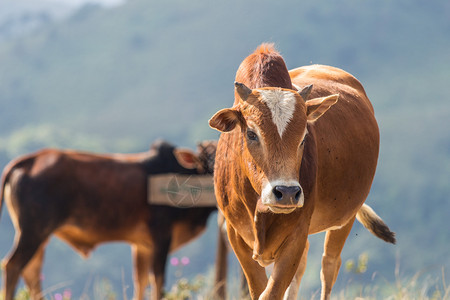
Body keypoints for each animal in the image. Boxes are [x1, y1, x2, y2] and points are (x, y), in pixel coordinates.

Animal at [0, 141, 218, 300]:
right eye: (207, 165)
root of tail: (31, 159)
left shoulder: (142, 245)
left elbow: (141, 281)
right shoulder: (161, 237)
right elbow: (158, 281)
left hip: (38, 234)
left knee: (31, 270)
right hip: (33, 231)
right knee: (13, 266)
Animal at [208, 44, 394, 300]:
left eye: (304, 136)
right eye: (251, 134)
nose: (286, 193)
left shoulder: (296, 234)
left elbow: (271, 293)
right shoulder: (235, 234)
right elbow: (260, 290)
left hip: (345, 217)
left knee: (329, 266)